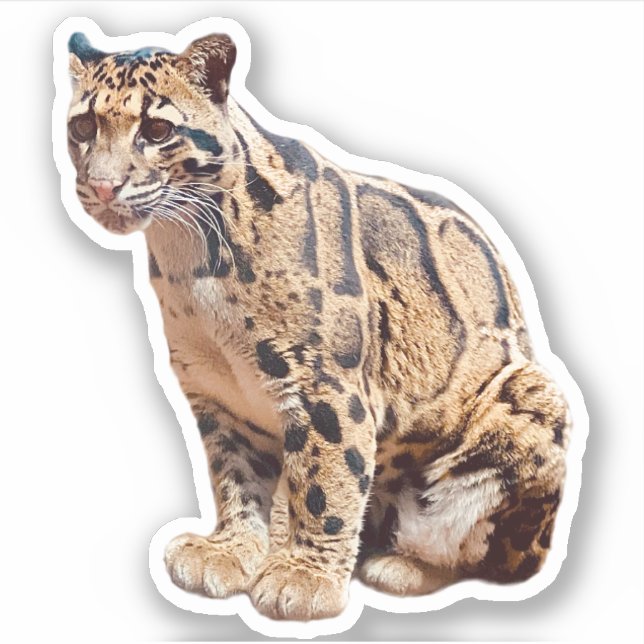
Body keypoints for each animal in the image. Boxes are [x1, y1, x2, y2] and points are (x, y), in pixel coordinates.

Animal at [64, 30, 571, 621]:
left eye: (157, 131)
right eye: (82, 127)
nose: (102, 186)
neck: (188, 255)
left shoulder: (325, 385)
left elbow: (327, 482)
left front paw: (303, 578)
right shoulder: (218, 393)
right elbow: (236, 475)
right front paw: (235, 549)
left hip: (531, 398)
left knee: (498, 558)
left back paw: (402, 565)